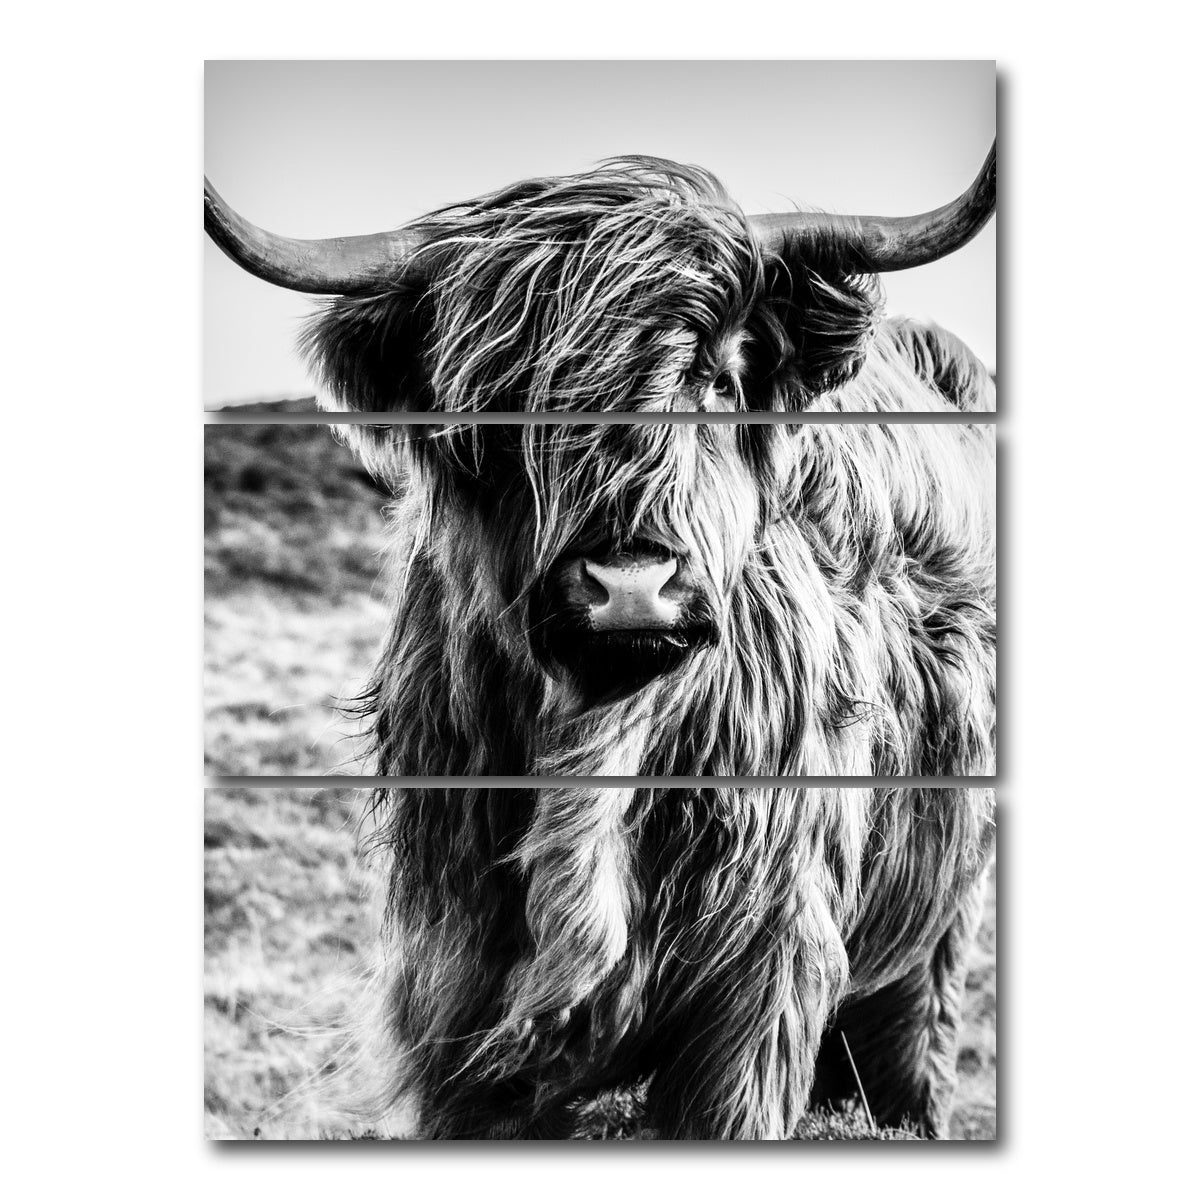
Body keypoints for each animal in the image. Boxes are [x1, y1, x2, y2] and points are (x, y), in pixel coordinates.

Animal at [205, 145, 997, 1138]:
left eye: (716, 376)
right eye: (499, 402)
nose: (630, 586)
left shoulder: (759, 988)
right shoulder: (455, 998)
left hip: (935, 935)